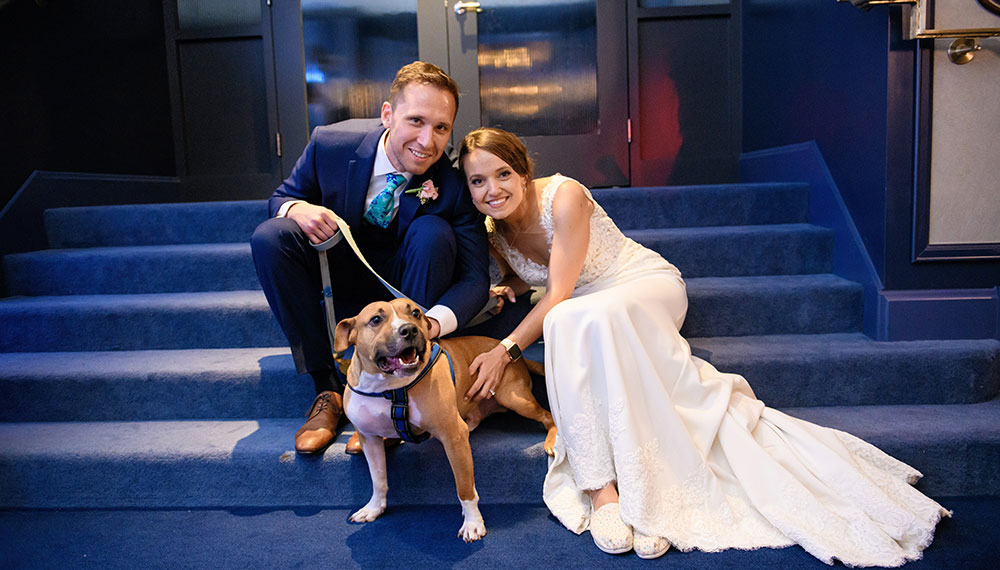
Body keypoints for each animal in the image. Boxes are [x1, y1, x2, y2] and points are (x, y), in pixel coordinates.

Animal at [334, 298, 556, 540]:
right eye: (375, 319)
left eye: (415, 313)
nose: (409, 329)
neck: (390, 389)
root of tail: (516, 355)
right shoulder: (370, 440)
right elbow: (378, 479)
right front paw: (374, 508)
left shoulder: (454, 437)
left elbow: (465, 487)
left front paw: (472, 522)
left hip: (515, 398)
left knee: (548, 416)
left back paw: (552, 439)